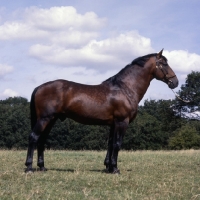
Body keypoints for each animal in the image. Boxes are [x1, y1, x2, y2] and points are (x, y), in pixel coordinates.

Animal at [24, 49, 178, 173]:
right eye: (164, 63)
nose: (175, 82)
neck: (125, 88)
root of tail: (39, 87)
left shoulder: (113, 124)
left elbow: (110, 144)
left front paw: (108, 167)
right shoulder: (122, 122)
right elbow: (117, 144)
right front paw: (115, 169)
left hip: (51, 120)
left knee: (42, 140)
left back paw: (42, 167)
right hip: (45, 119)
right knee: (34, 137)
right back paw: (29, 167)